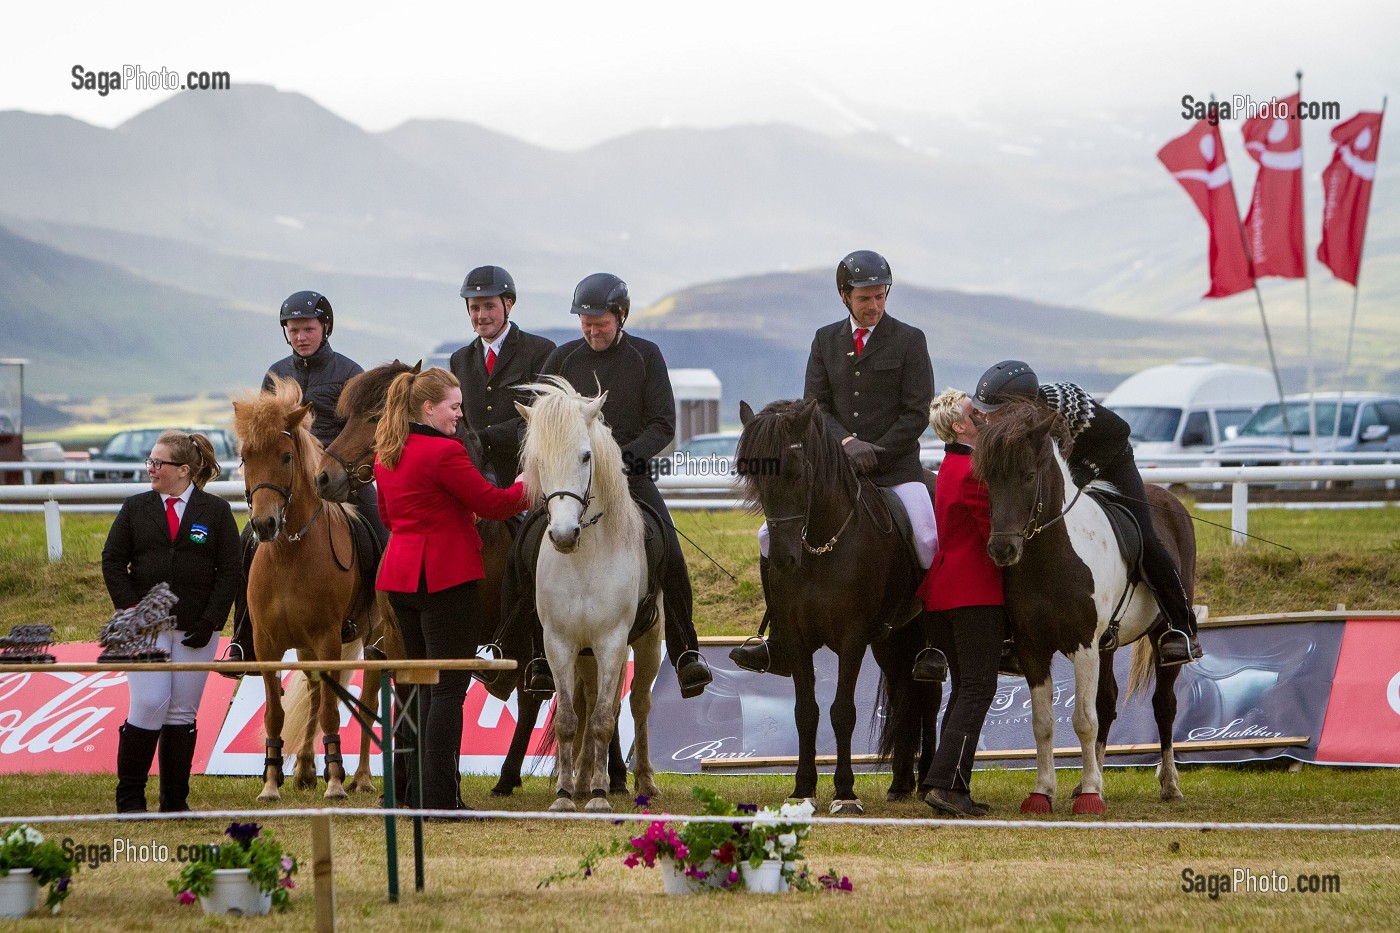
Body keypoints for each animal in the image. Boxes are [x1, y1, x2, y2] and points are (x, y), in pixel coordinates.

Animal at [231, 378, 386, 801]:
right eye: (245, 458)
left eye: (286, 457)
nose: (264, 524)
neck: (290, 554)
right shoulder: (268, 645)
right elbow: (276, 714)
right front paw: (271, 782)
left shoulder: (329, 639)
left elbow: (334, 711)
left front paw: (335, 782)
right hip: (304, 646)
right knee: (316, 692)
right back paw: (303, 769)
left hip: (375, 639)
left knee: (367, 698)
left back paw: (360, 776)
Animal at [518, 375, 663, 806]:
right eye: (539, 462)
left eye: (585, 457)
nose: (565, 535)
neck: (583, 561)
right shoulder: (559, 643)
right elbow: (569, 718)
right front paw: (565, 794)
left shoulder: (612, 642)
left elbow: (603, 719)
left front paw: (600, 794)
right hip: (584, 654)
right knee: (590, 699)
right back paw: (582, 778)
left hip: (647, 642)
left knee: (637, 703)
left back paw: (643, 780)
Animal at [733, 395, 940, 812]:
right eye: (755, 476)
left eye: (797, 471)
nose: (784, 560)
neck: (819, 547)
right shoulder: (796, 639)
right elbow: (806, 712)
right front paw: (802, 789)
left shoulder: (852, 638)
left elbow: (842, 712)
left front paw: (845, 792)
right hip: (891, 640)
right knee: (905, 689)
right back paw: (900, 784)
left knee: (931, 694)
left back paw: (928, 781)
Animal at [974, 400, 1192, 812]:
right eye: (988, 480)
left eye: (1028, 476)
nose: (1001, 550)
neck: (1051, 558)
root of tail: (1169, 499)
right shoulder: (1033, 650)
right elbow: (1044, 722)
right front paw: (1044, 792)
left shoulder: (1083, 646)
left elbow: (1083, 721)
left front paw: (1090, 795)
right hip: (1107, 645)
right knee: (1107, 703)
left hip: (1158, 636)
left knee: (1164, 705)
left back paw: (1169, 784)